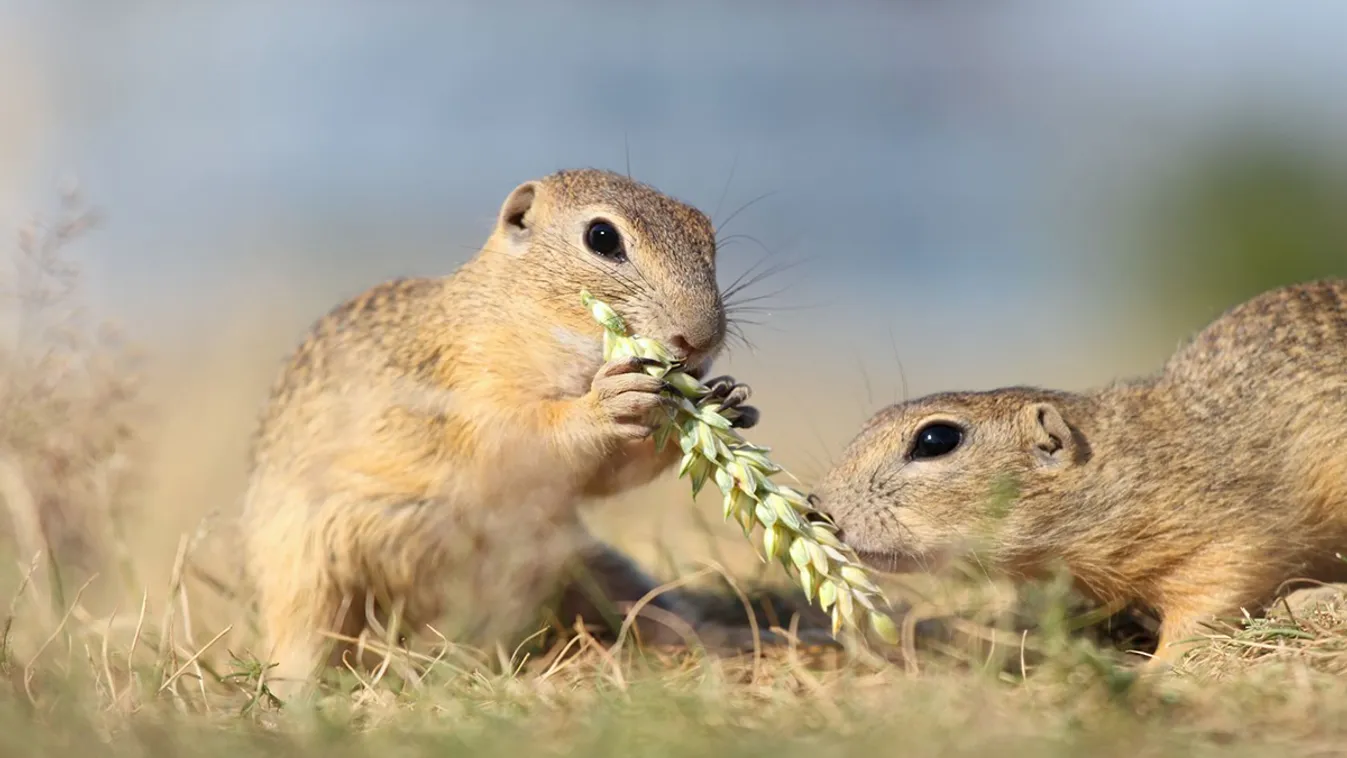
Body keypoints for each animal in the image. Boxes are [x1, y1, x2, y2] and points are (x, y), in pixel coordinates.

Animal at [247, 167, 786, 700]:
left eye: (705, 232)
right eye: (602, 237)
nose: (703, 338)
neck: (528, 319)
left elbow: (607, 474)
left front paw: (725, 401)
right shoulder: (473, 390)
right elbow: (524, 440)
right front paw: (608, 403)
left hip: (590, 566)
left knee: (654, 616)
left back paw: (739, 637)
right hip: (310, 575)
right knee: (306, 640)